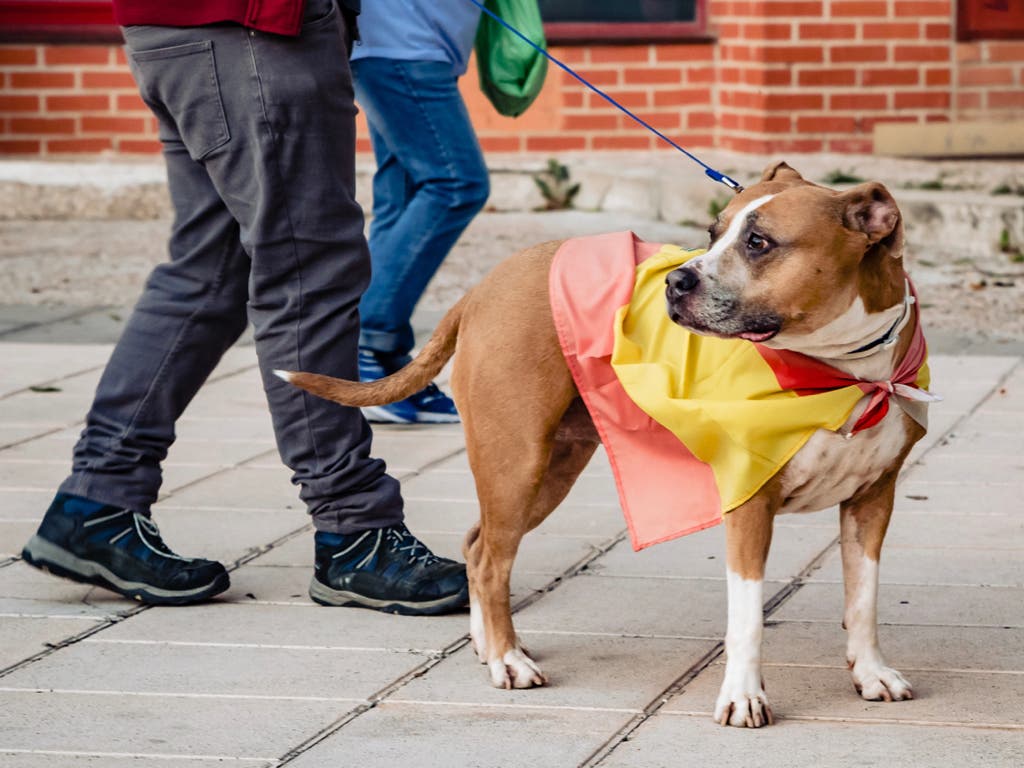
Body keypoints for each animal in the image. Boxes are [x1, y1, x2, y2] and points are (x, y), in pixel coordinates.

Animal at [276, 162, 933, 729]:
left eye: (759, 243)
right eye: (712, 233)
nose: (675, 280)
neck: (844, 374)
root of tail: (484, 286)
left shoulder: (873, 502)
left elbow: (864, 597)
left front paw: (870, 673)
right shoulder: (750, 503)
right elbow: (747, 618)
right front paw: (743, 697)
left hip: (549, 471)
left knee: (478, 543)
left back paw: (490, 646)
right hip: (516, 461)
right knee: (490, 561)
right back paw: (508, 660)